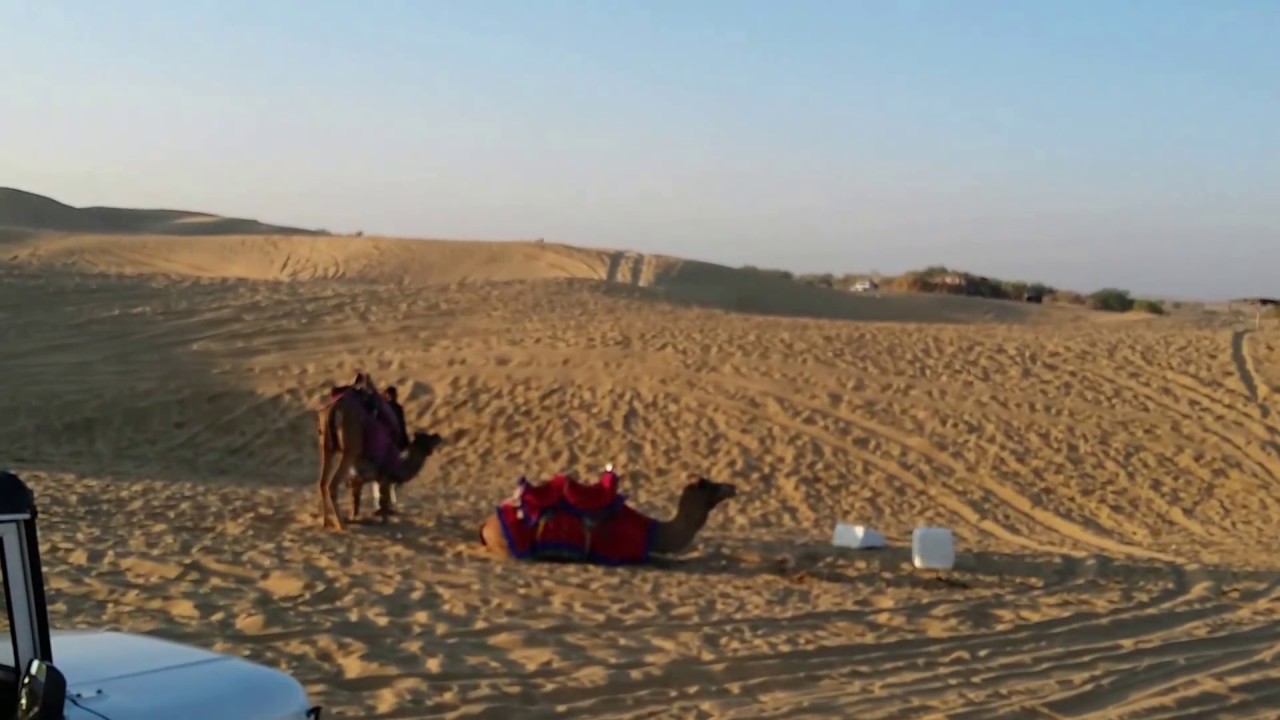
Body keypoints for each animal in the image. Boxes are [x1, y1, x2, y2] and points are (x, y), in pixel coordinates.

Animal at [314, 371, 445, 530]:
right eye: (428, 438)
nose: (438, 436)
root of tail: (334, 409)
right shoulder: (383, 476)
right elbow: (383, 501)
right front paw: (384, 520)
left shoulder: (359, 477)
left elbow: (357, 500)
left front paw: (356, 517)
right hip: (350, 448)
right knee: (332, 485)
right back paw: (341, 525)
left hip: (326, 446)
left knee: (322, 482)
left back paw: (326, 522)